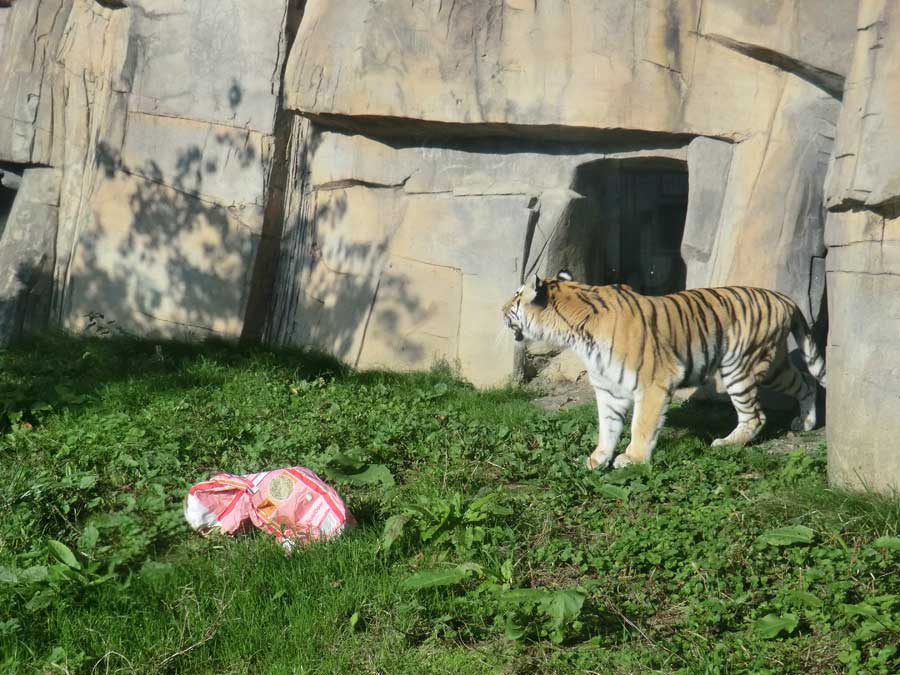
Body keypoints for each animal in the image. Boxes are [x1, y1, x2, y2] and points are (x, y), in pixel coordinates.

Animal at [502, 270, 828, 470]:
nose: (501, 309)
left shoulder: (654, 382)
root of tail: (784, 298)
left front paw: (632, 459)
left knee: (756, 415)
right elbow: (607, 426)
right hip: (774, 366)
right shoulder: (608, 389)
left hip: (740, 366)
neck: (575, 332)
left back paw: (724, 444)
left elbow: (642, 425)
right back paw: (805, 422)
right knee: (806, 382)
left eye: (516, 296)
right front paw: (598, 459)